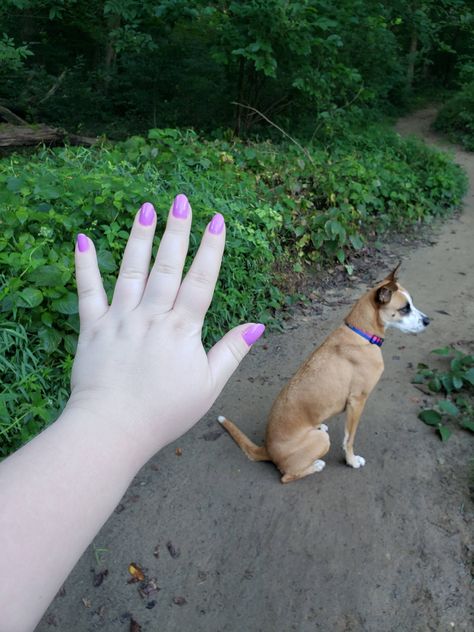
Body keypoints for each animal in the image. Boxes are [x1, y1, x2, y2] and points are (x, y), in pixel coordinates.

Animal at [218, 266, 430, 484]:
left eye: (411, 303)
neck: (361, 333)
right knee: (286, 476)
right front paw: (351, 461)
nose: (427, 321)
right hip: (318, 444)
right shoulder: (357, 402)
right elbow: (349, 439)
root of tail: (267, 449)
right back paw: (316, 465)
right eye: (405, 308)